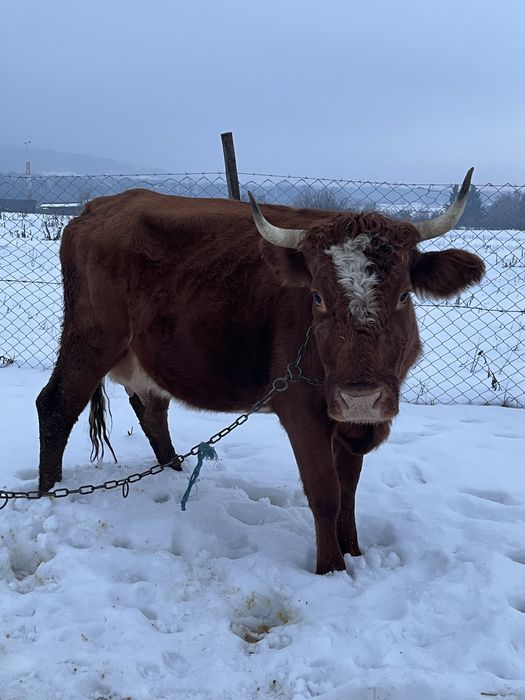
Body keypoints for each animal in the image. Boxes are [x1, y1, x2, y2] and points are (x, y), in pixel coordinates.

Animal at [36, 169, 484, 574]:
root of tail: (99, 206)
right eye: (317, 297)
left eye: (405, 295)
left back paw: (173, 475)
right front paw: (331, 569)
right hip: (91, 338)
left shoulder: (354, 419)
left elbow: (350, 490)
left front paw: (354, 552)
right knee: (56, 405)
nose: (361, 396)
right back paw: (48, 492)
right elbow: (326, 492)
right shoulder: (301, 408)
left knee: (151, 413)